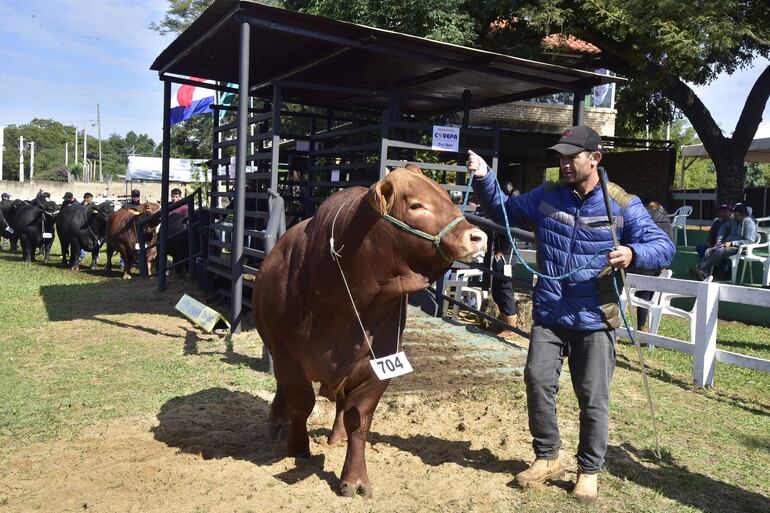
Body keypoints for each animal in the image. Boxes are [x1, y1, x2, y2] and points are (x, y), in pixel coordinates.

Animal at [254, 166, 486, 498]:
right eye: (416, 205)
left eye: (445, 195)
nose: (477, 237)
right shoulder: (288, 358)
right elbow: (301, 403)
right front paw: (297, 447)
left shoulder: (377, 365)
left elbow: (359, 420)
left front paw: (354, 478)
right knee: (284, 390)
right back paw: (277, 422)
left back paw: (336, 435)